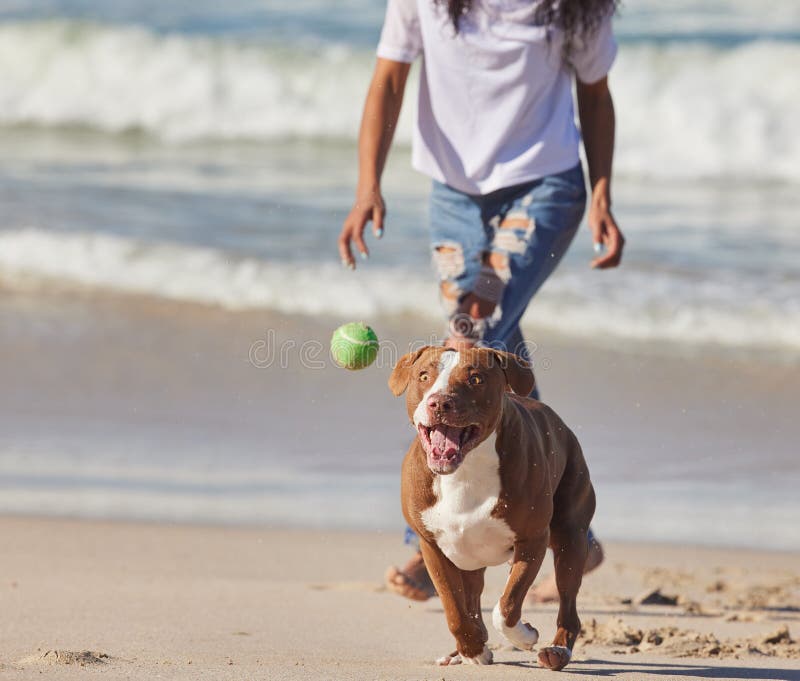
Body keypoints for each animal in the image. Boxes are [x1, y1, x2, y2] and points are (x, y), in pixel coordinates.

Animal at [390, 346, 596, 668]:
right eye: (423, 376)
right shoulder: (432, 547)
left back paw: (557, 650)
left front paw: (524, 636)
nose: (440, 402)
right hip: (470, 557)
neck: (465, 470)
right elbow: (453, 607)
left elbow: (507, 606)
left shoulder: (532, 541)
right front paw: (473, 649)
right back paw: (460, 652)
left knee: (568, 600)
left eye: (475, 379)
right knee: (472, 600)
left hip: (570, 537)